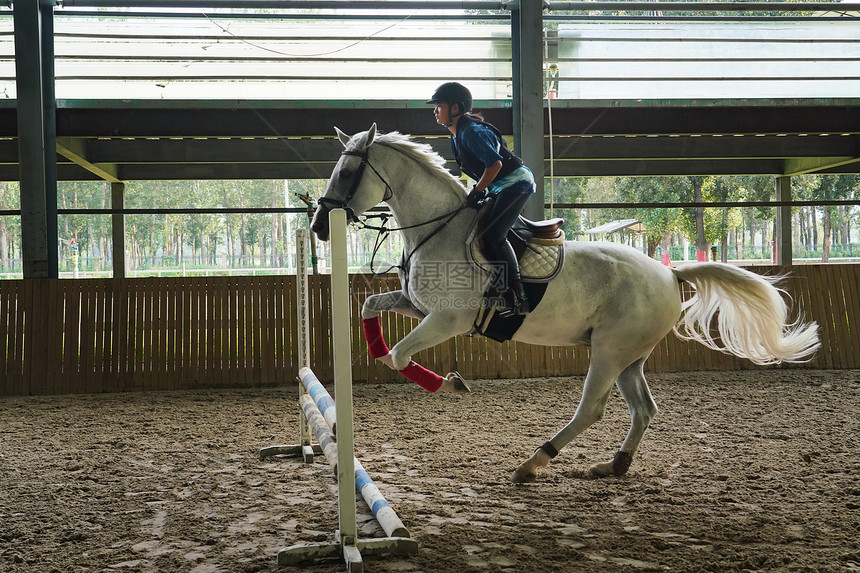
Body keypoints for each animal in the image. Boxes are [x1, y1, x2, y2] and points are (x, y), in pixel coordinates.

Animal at [310, 125, 820, 482]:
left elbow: (399, 356)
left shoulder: (447, 318)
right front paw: (393, 355)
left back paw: (533, 463)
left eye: (348, 173)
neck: (440, 229)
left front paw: (450, 383)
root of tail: (670, 273)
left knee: (591, 410)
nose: (318, 226)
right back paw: (613, 466)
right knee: (643, 409)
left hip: (610, 351)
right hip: (630, 355)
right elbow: (371, 310)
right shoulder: (418, 308)